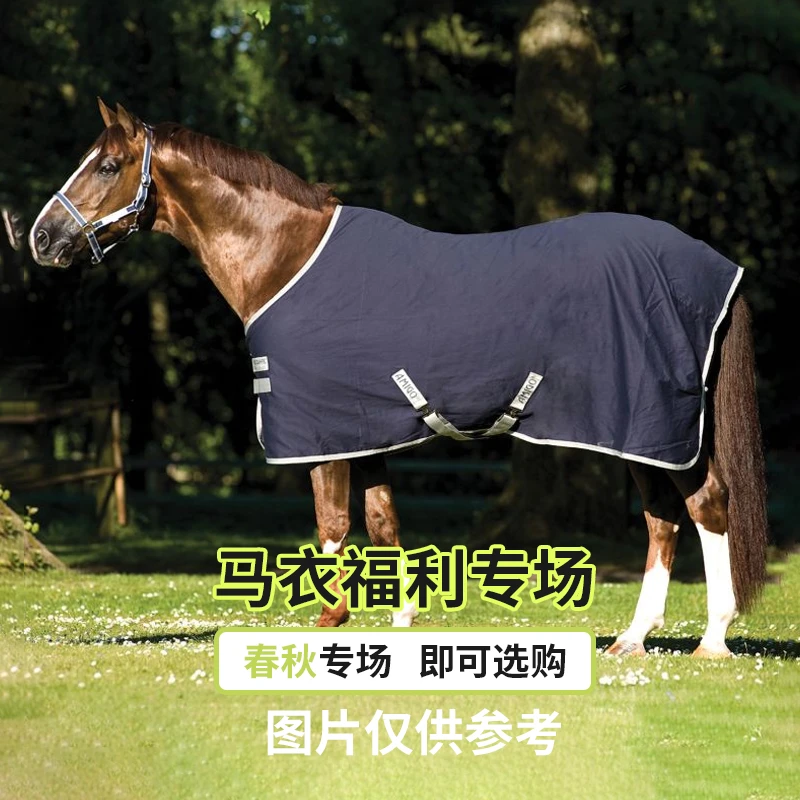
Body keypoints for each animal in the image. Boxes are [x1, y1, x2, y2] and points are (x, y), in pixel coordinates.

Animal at [28, 99, 768, 657]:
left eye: (108, 165)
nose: (38, 237)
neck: (287, 258)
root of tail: (713, 266)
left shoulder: (322, 429)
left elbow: (331, 522)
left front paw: (330, 619)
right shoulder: (368, 429)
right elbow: (383, 521)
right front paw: (401, 618)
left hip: (651, 424)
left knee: (705, 507)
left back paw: (712, 639)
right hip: (640, 432)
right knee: (663, 520)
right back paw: (633, 640)